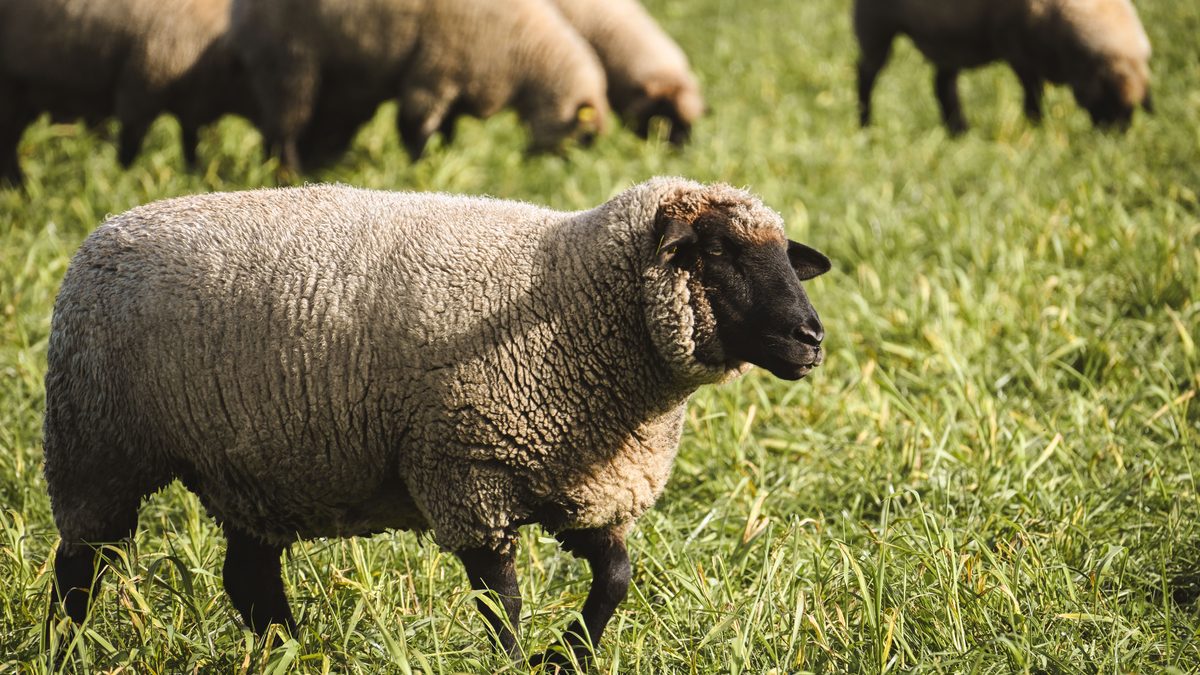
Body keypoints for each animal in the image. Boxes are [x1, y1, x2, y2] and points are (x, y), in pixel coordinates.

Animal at [0, 0, 249, 185]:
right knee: (8, 144)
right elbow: (129, 151)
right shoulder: (138, 92)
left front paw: (193, 176)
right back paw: (18, 186)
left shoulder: (189, 104)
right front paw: (123, 180)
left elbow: (190, 144)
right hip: (12, 91)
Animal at [43, 177, 831, 668]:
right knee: (80, 566)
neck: (573, 296)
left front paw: (565, 655)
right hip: (97, 445)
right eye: (719, 251)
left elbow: (616, 578)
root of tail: (101, 234)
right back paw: (63, 652)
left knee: (249, 577)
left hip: (250, 465)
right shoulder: (467, 471)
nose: (811, 337)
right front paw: (516, 663)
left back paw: (298, 653)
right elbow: (501, 599)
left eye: (786, 259)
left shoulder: (579, 484)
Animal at [230, 0, 609, 173]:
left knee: (323, 126)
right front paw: (421, 168)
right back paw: (288, 173)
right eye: (584, 137)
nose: (563, 171)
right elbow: (416, 128)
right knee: (285, 127)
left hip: (341, 77)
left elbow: (446, 130)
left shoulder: (455, 82)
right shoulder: (434, 70)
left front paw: (442, 159)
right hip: (289, 60)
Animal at [854, 0, 1153, 133]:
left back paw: (959, 130)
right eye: (1109, 101)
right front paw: (1035, 125)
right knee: (866, 74)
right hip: (875, 24)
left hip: (947, 35)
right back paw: (866, 123)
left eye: (1134, 109)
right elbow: (1033, 92)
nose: (1115, 137)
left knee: (942, 83)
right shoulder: (1017, 48)